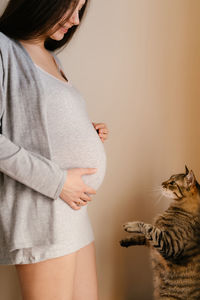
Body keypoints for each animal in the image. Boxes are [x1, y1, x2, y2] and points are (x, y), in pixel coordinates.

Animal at [120, 165, 200, 298]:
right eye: (169, 178)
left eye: (172, 182)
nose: (162, 183)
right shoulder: (154, 241)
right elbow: (144, 236)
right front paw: (126, 240)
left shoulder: (170, 244)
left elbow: (148, 227)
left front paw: (131, 225)